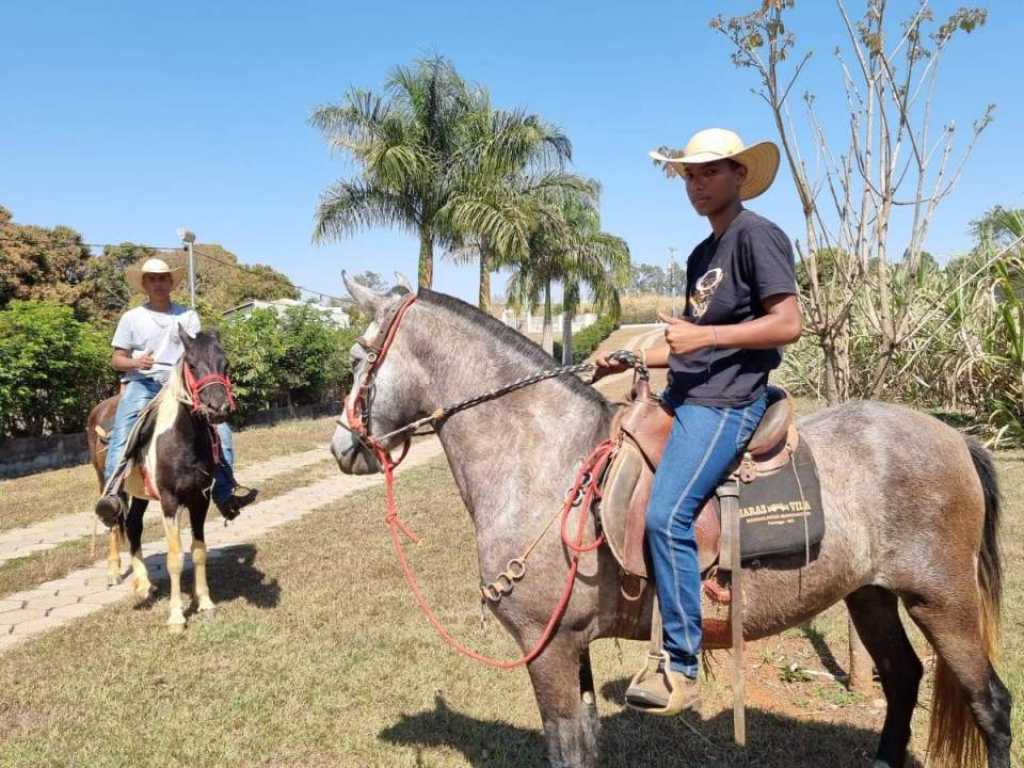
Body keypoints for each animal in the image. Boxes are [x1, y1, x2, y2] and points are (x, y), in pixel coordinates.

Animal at [329, 276, 1007, 768]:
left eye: (359, 358)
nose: (342, 447)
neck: (548, 459)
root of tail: (956, 437)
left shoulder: (548, 647)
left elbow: (566, 749)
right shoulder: (572, 644)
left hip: (942, 600)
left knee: (991, 705)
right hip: (869, 595)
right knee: (903, 680)